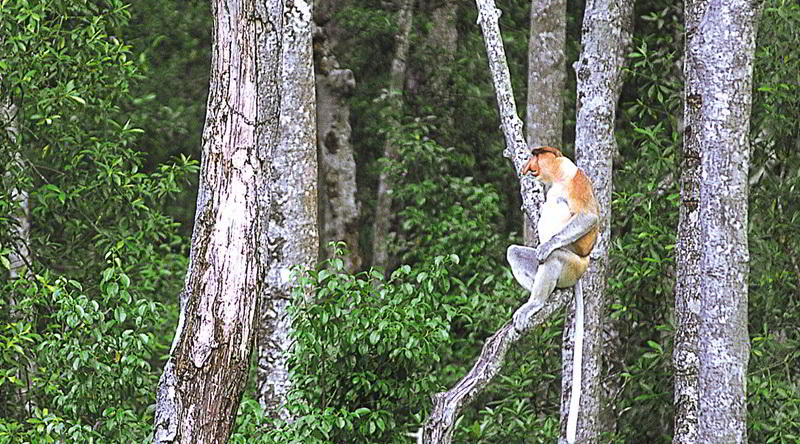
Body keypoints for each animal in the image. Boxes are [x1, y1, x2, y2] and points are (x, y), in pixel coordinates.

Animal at [510, 147, 596, 444]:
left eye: (536, 157)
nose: (528, 166)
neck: (558, 176)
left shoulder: (575, 181)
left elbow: (588, 217)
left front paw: (545, 245)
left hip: (572, 265)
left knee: (553, 258)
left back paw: (535, 303)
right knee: (514, 252)